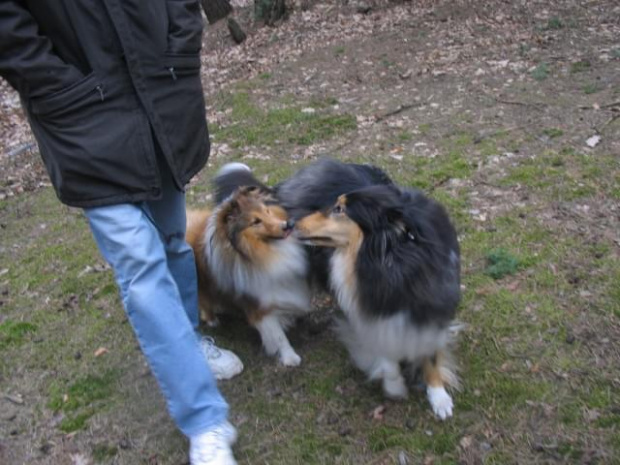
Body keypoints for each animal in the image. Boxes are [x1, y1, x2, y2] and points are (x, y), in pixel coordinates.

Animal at [184, 164, 310, 366]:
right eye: (255, 221)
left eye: (267, 211)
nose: (288, 225)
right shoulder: (258, 306)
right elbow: (278, 335)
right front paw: (290, 357)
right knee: (204, 301)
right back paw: (212, 320)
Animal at [288, 159, 458, 416]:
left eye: (339, 209)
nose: (289, 223)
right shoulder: (364, 309)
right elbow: (383, 350)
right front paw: (395, 385)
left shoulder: (431, 306)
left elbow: (430, 355)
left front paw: (439, 397)